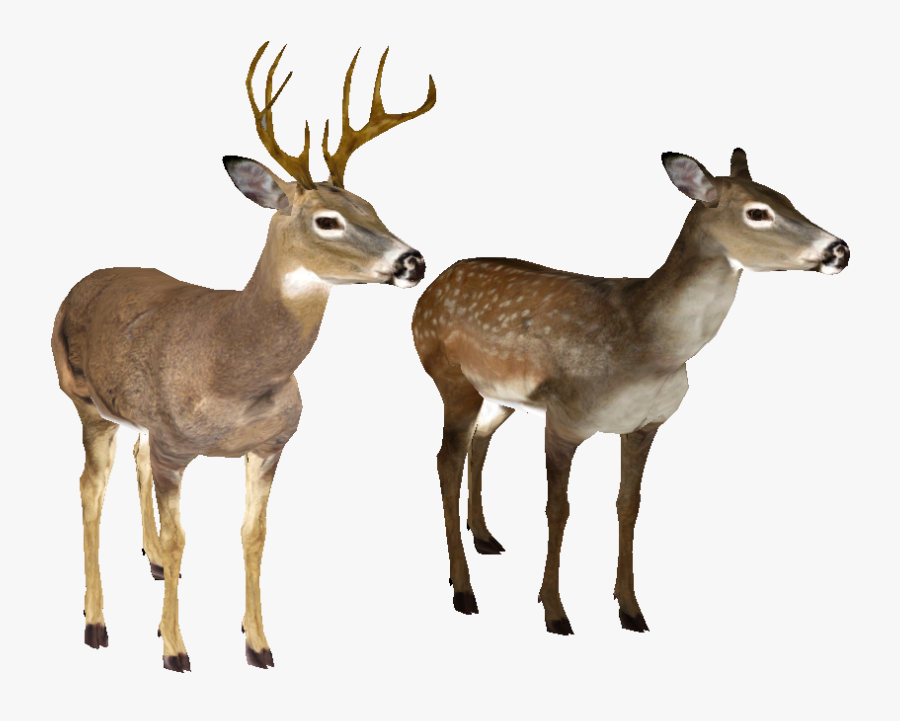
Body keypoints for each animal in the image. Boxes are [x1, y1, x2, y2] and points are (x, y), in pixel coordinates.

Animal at [51, 42, 435, 671]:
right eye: (327, 220)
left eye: (372, 206)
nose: (413, 262)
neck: (232, 363)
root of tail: (82, 283)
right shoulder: (176, 447)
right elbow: (185, 536)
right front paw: (175, 650)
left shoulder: (271, 444)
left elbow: (253, 535)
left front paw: (257, 643)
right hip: (83, 400)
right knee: (89, 488)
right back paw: (95, 621)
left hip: (136, 419)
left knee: (134, 457)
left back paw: (152, 564)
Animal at [412, 148, 849, 635]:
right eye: (758, 212)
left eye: (787, 198)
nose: (839, 249)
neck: (647, 347)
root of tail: (432, 288)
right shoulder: (565, 418)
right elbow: (558, 508)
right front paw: (554, 611)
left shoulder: (645, 424)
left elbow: (629, 504)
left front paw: (630, 608)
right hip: (451, 377)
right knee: (446, 460)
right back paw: (463, 589)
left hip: (500, 395)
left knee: (480, 441)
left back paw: (485, 538)